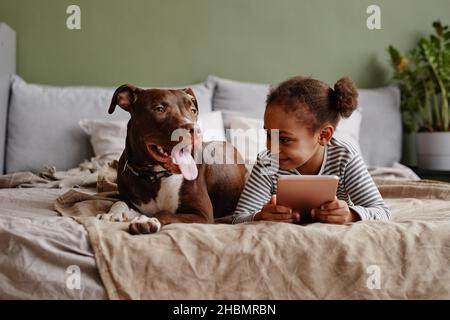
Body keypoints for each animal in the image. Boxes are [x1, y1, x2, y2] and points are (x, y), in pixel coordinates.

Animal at [103, 84, 246, 235]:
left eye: (193, 110)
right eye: (159, 109)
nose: (195, 130)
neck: (154, 175)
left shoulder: (202, 214)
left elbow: (166, 213)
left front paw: (147, 220)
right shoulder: (129, 200)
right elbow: (119, 202)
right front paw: (113, 213)